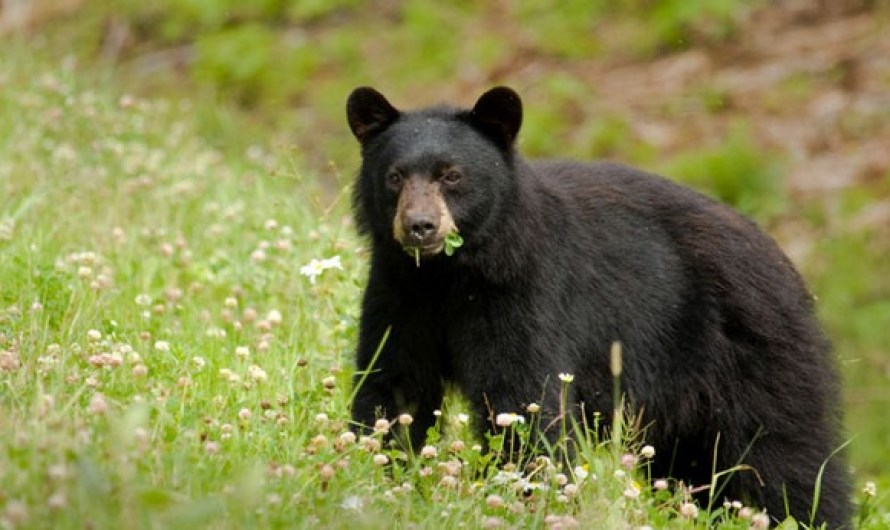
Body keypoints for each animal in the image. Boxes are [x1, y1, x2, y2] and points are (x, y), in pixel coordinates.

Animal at [344, 86, 848, 524]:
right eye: (394, 177)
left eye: (452, 175)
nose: (420, 226)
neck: (449, 277)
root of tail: (784, 261)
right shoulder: (398, 293)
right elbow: (393, 384)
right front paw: (377, 477)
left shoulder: (527, 295)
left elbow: (525, 399)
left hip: (756, 354)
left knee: (787, 456)